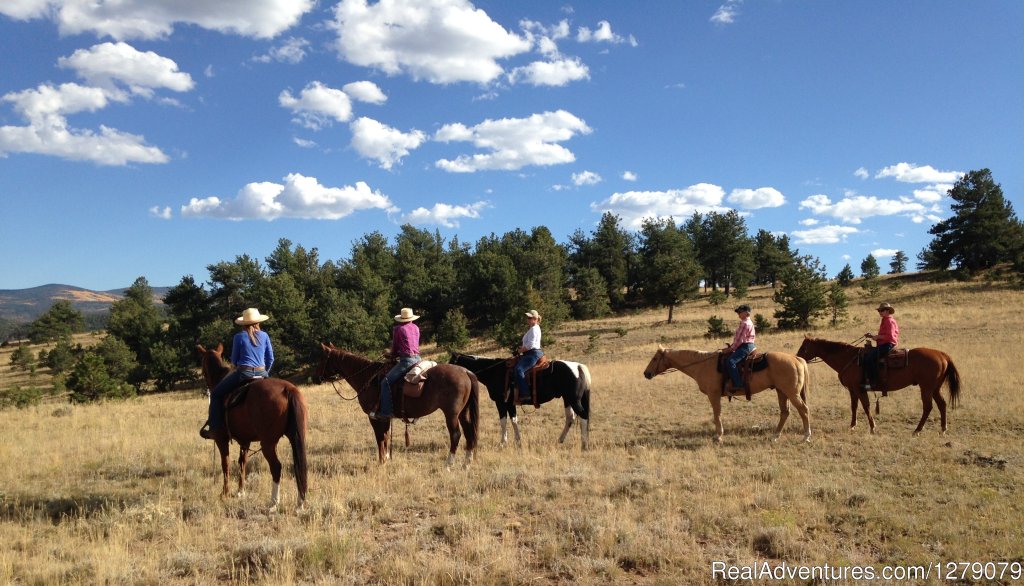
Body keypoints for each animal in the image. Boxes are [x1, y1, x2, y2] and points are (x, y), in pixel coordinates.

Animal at [195, 340, 307, 510]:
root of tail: (288, 389)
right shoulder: (245, 441)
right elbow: (242, 463)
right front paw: (240, 491)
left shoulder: (221, 439)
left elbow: (225, 464)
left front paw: (225, 493)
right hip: (294, 437)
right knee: (299, 466)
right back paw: (299, 503)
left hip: (267, 443)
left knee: (276, 467)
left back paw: (273, 503)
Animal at [315, 344, 479, 467]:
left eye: (322, 358)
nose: (316, 377)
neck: (368, 378)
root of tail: (466, 371)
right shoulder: (385, 417)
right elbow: (386, 435)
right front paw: (387, 458)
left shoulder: (374, 417)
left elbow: (380, 437)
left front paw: (381, 461)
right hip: (462, 412)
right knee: (469, 431)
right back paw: (467, 462)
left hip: (451, 414)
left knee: (456, 434)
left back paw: (449, 464)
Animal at [448, 352, 593, 448]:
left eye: (451, 363)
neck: (494, 371)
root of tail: (578, 367)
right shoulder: (510, 404)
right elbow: (514, 420)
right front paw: (518, 441)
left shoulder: (501, 402)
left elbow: (504, 421)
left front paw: (503, 442)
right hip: (567, 399)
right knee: (570, 418)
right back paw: (560, 440)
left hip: (574, 399)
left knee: (583, 416)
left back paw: (584, 444)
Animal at [643, 346, 811, 442]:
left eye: (655, 358)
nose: (646, 373)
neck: (703, 365)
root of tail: (796, 359)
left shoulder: (714, 394)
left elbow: (717, 413)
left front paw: (718, 436)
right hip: (781, 391)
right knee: (785, 412)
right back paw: (775, 436)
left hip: (792, 393)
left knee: (803, 410)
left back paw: (806, 436)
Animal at [790, 333, 958, 434]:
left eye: (804, 347)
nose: (797, 358)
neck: (849, 359)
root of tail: (942, 355)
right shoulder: (852, 390)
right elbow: (854, 406)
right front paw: (852, 425)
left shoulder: (859, 389)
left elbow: (866, 406)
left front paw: (872, 427)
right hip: (934, 388)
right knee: (942, 404)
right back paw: (943, 429)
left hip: (926, 388)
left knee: (928, 407)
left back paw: (917, 430)